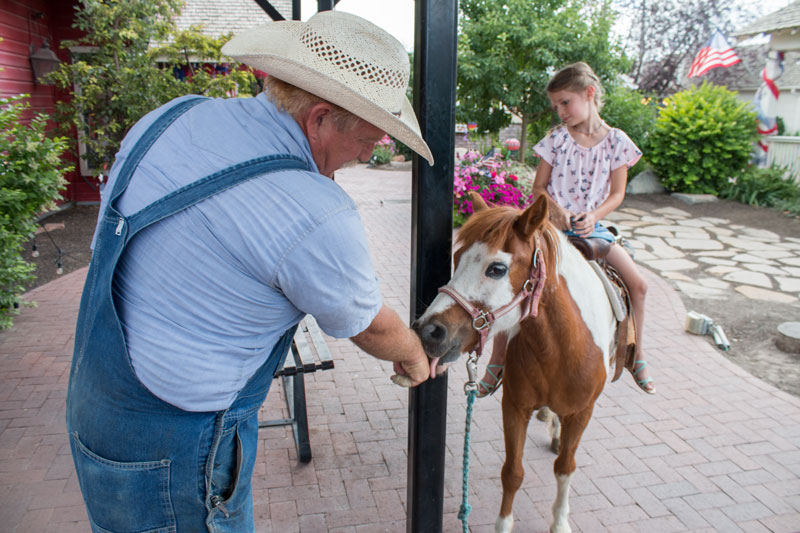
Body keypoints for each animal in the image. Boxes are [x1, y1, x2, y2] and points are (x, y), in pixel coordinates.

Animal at [413, 192, 632, 533]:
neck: (562, 349)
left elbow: (565, 467)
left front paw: (559, 521)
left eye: (497, 269)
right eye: (457, 257)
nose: (429, 330)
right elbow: (512, 472)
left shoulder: (582, 412)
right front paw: (503, 524)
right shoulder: (515, 406)